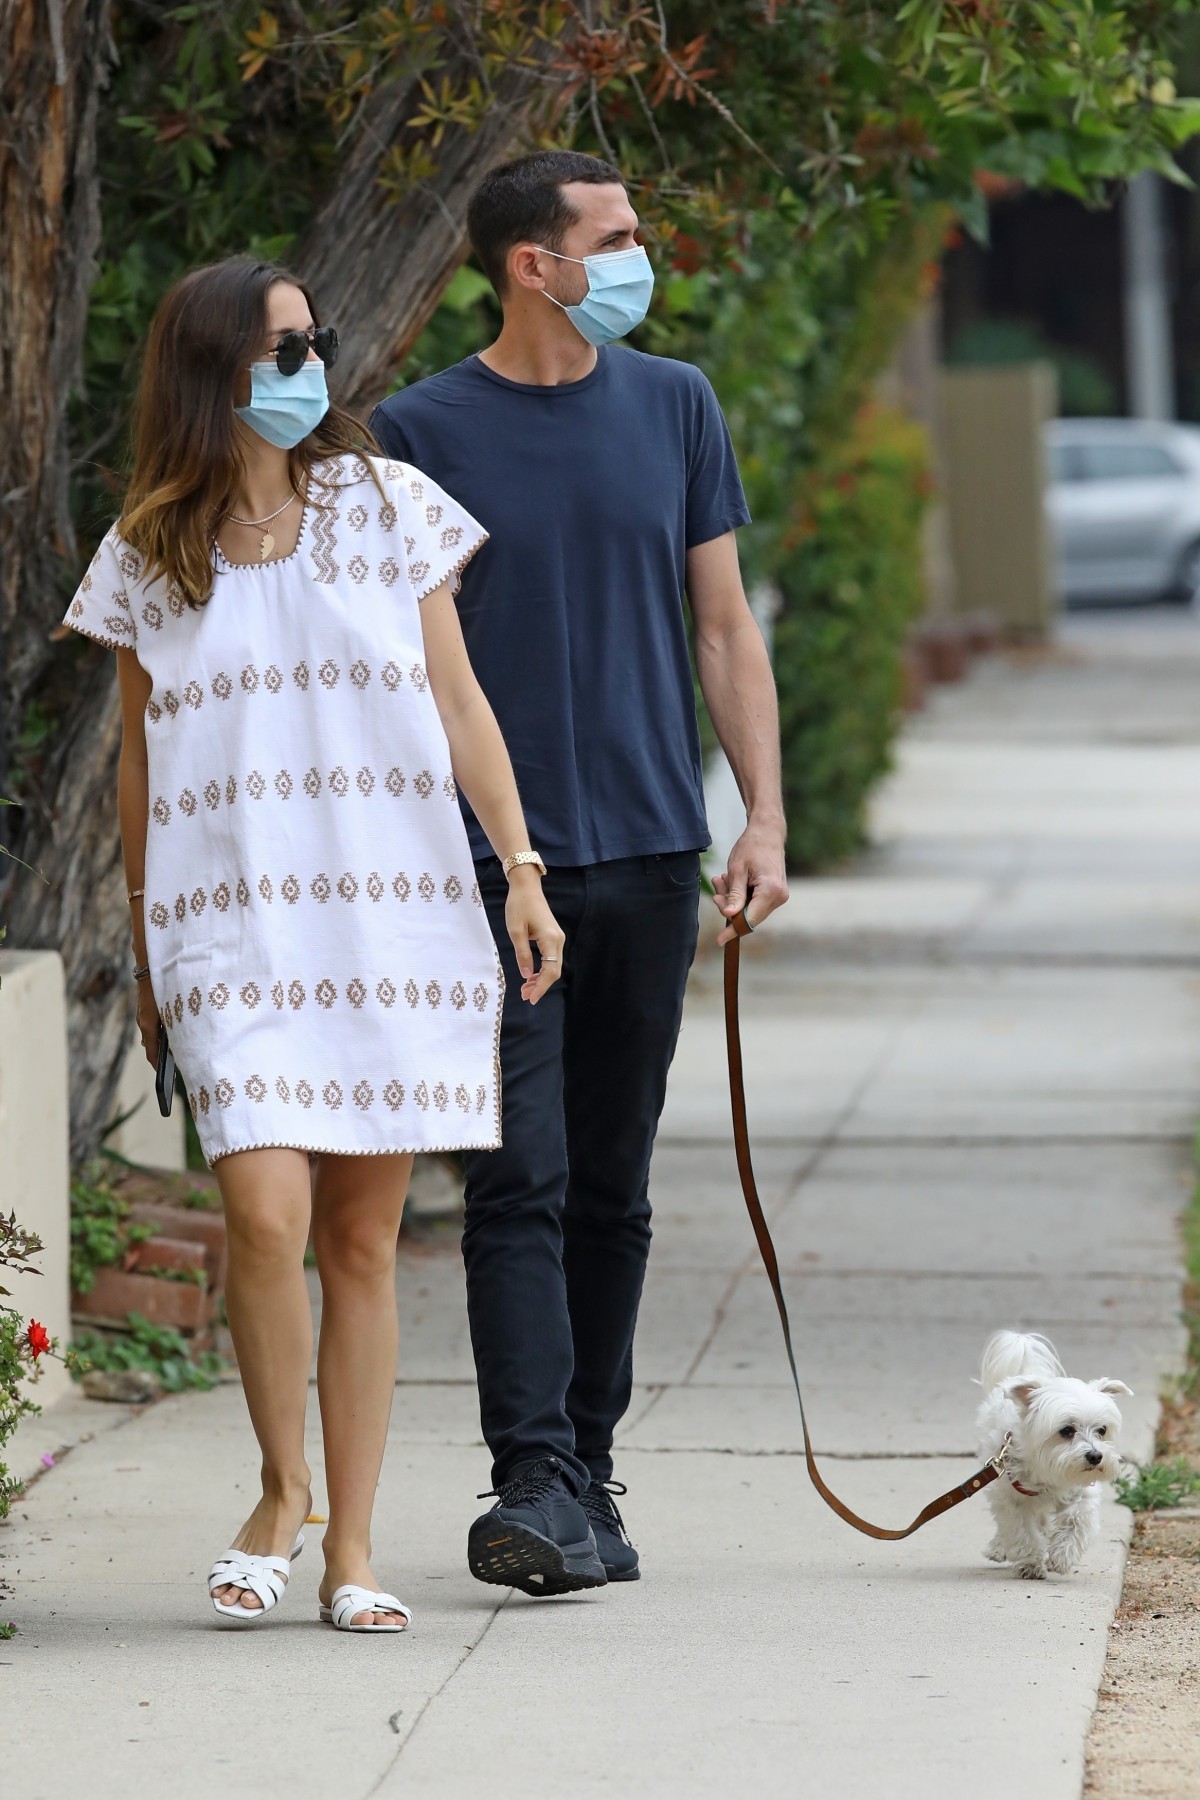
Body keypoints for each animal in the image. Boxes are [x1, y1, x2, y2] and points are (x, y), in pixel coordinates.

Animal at [978, 1332, 1137, 1584]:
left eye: (1102, 1430)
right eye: (1066, 1431)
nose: (1095, 1456)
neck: (1049, 1472)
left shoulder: (1082, 1493)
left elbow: (1077, 1520)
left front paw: (1063, 1554)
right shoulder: (1008, 1497)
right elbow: (1020, 1530)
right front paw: (1030, 1562)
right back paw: (999, 1547)